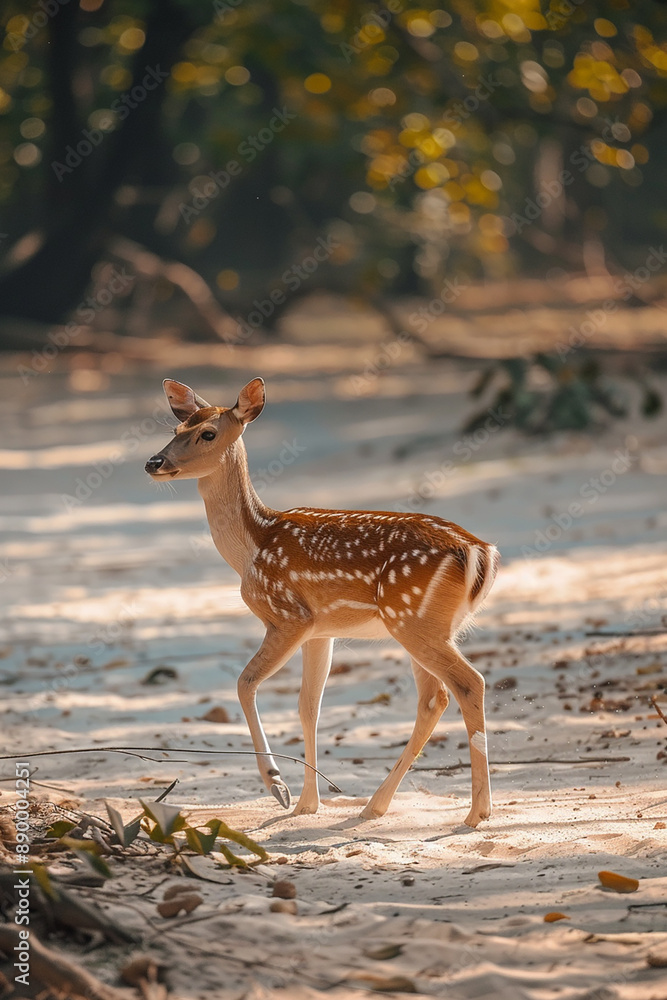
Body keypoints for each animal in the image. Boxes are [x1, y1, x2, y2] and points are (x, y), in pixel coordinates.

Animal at [145, 377, 499, 827]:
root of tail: (481, 552)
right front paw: (306, 804)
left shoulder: (288, 616)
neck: (252, 548)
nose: (153, 462)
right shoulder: (320, 631)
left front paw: (277, 786)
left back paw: (476, 812)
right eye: (176, 429)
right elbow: (308, 705)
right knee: (434, 698)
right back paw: (376, 805)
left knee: (469, 684)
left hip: (413, 620)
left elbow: (245, 683)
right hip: (425, 625)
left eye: (207, 433)